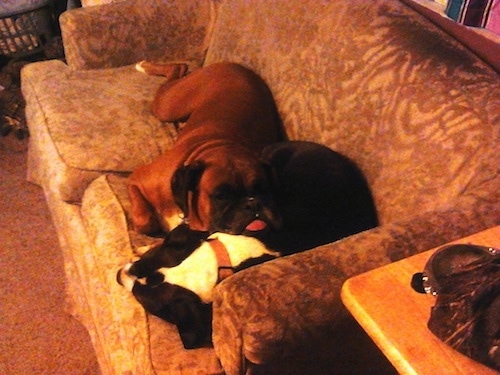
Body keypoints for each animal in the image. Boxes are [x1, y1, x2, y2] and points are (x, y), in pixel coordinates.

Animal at [128, 63, 286, 236]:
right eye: (221, 196)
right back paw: (144, 66)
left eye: (264, 189)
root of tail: (235, 65)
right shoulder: (136, 179)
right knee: (176, 69)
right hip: (167, 107)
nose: (252, 203)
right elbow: (146, 222)